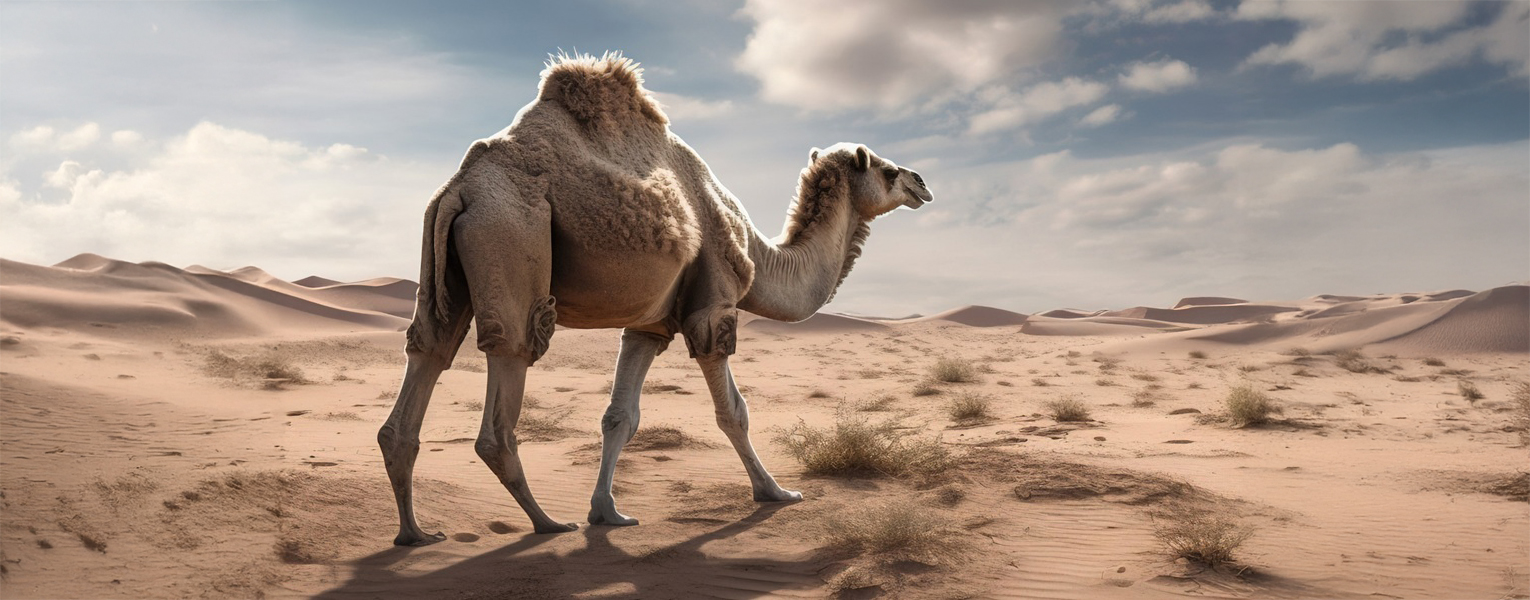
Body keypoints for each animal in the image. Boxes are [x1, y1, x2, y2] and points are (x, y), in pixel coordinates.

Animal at [377, 53, 934, 545]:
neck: (759, 254)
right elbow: (734, 412)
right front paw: (775, 492)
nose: (921, 182)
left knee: (429, 350)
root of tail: (462, 186)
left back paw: (414, 533)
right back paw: (546, 523)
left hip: (446, 266)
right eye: (886, 170)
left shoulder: (649, 324)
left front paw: (607, 512)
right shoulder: (713, 306)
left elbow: (620, 417)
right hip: (511, 236)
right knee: (509, 364)